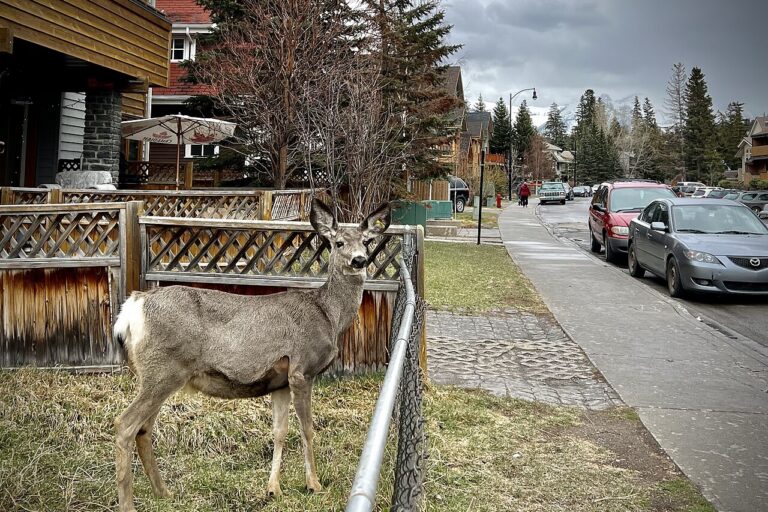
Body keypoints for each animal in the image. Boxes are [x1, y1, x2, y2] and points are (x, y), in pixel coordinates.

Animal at [112, 199, 391, 512]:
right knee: (125, 425)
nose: (359, 260)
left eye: (367, 241)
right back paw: (128, 504)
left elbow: (280, 431)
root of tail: (134, 306)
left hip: (159, 374)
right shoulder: (302, 368)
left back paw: (164, 493)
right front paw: (314, 484)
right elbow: (307, 428)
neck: (329, 315)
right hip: (164, 370)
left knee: (144, 429)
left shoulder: (280, 380)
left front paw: (273, 489)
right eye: (339, 242)